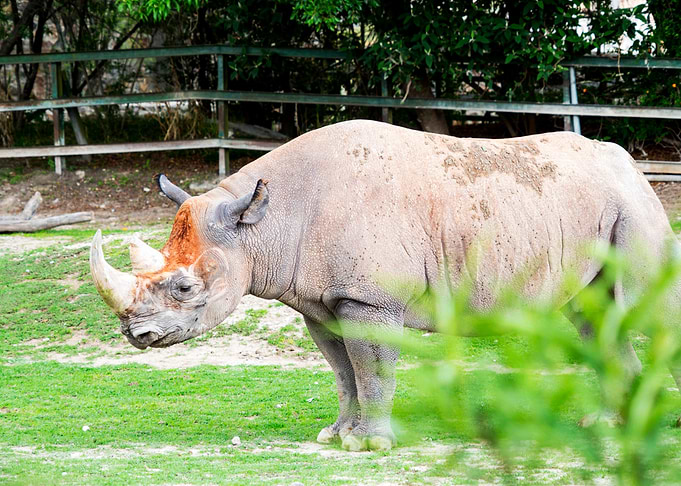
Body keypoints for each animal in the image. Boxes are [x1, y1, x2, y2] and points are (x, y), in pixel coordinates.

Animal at [90, 120, 681, 451]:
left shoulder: (368, 298)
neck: (262, 225)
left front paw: (372, 447)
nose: (135, 335)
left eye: (185, 289)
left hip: (633, 208)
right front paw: (337, 437)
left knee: (641, 311)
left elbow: (371, 368)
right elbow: (342, 370)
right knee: (598, 317)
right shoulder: (321, 301)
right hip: (596, 210)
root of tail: (634, 166)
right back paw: (612, 422)